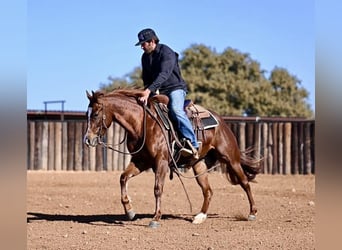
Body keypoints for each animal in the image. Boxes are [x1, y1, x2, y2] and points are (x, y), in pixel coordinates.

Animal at [84, 88, 260, 229]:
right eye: (87, 114)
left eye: (96, 114)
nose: (88, 140)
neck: (143, 124)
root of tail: (221, 122)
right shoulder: (140, 161)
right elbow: (123, 178)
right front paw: (130, 211)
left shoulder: (161, 162)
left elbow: (157, 189)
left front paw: (155, 218)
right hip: (199, 164)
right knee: (208, 191)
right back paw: (200, 216)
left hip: (231, 158)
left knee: (245, 182)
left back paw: (252, 213)